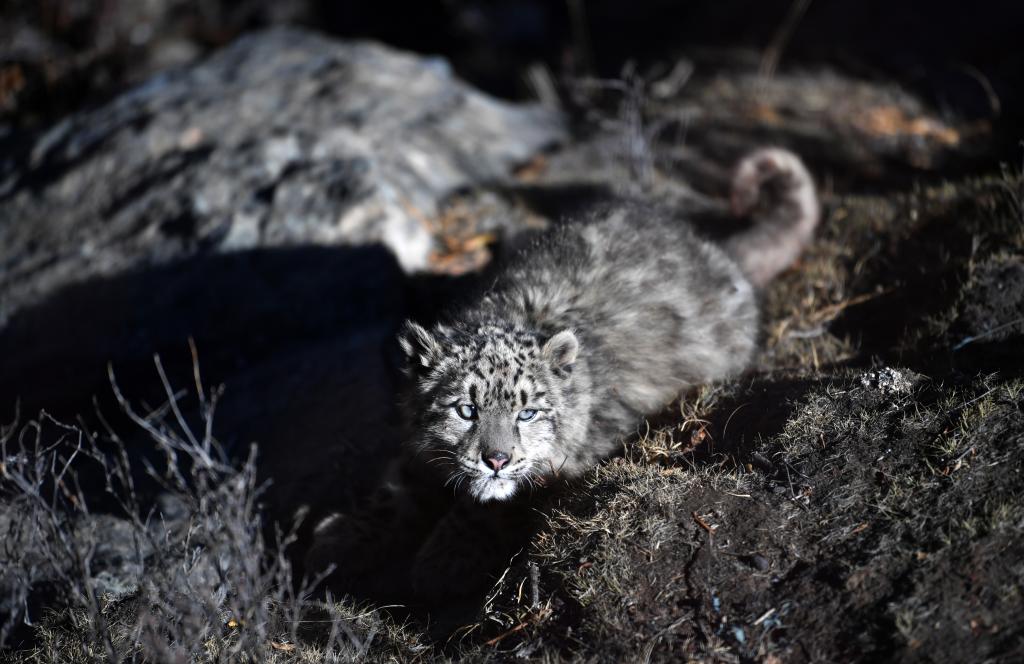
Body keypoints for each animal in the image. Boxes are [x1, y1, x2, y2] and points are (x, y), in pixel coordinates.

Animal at [301, 147, 815, 594]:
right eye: (466, 410)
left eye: (527, 413)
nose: (496, 459)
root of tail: (714, 252)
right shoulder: (413, 452)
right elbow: (398, 486)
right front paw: (340, 536)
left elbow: (492, 502)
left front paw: (443, 559)